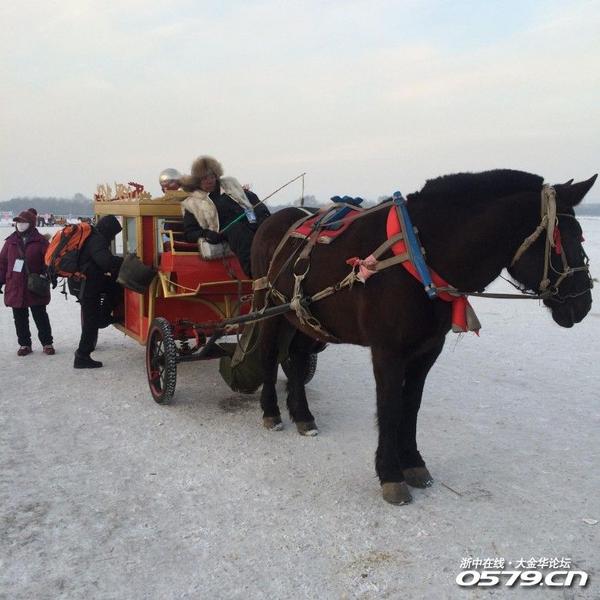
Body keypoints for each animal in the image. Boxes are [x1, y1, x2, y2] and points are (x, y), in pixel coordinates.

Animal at [250, 169, 596, 505]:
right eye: (566, 240)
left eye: (579, 235)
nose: (584, 303)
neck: (419, 255)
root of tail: (271, 220)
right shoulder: (387, 351)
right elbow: (390, 407)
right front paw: (390, 473)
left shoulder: (427, 350)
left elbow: (411, 404)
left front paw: (413, 462)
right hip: (269, 309)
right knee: (269, 356)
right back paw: (271, 411)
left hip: (302, 318)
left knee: (296, 358)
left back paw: (302, 414)